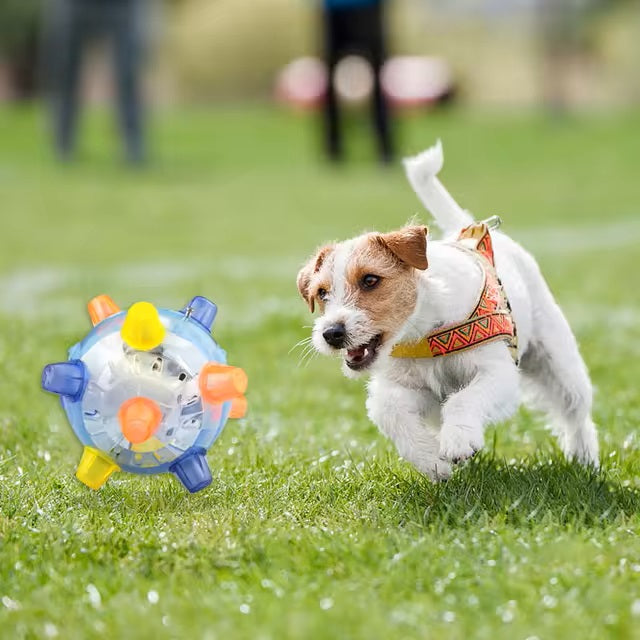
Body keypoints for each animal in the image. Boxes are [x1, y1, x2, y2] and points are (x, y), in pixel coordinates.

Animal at [298, 141, 600, 480]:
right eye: (322, 293)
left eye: (370, 280)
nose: (331, 333)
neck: (424, 331)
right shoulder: (409, 389)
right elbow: (389, 411)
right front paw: (431, 459)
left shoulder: (497, 373)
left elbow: (462, 400)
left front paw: (457, 442)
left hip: (559, 363)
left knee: (576, 412)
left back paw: (585, 460)